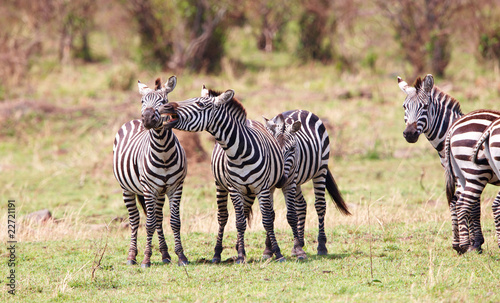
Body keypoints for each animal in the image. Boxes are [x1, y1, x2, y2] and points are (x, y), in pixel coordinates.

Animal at [112, 76, 188, 268]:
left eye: (164, 101)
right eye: (142, 101)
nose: (147, 118)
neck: (163, 151)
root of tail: (134, 121)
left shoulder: (176, 187)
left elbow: (174, 221)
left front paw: (181, 256)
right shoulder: (148, 189)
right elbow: (149, 223)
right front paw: (146, 258)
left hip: (159, 192)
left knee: (159, 218)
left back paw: (165, 254)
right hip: (127, 189)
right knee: (135, 220)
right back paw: (132, 256)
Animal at [158, 86, 288, 264]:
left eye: (199, 104)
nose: (165, 106)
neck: (239, 153)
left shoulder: (262, 188)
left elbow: (267, 220)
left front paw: (278, 253)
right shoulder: (234, 188)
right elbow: (239, 222)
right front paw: (240, 255)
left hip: (255, 190)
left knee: (248, 213)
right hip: (220, 185)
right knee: (223, 217)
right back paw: (217, 253)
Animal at [262, 110, 352, 260]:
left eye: (292, 149)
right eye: (273, 148)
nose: (281, 180)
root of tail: (301, 110)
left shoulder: (290, 181)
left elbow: (291, 215)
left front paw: (297, 250)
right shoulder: (268, 185)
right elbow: (270, 214)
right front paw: (268, 250)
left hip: (319, 170)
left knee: (320, 205)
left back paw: (321, 246)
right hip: (297, 180)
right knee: (301, 205)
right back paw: (299, 242)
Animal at [396, 74, 482, 254]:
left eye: (425, 106)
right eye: (404, 107)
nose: (410, 134)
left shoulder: (473, 171)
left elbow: (472, 204)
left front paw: (475, 243)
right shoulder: (456, 173)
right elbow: (456, 202)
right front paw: (462, 243)